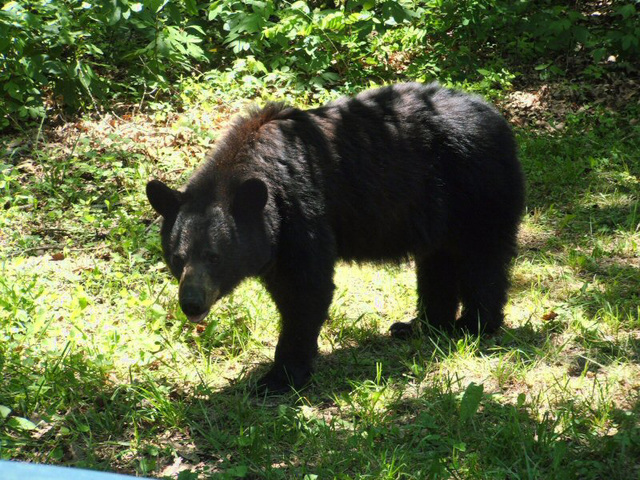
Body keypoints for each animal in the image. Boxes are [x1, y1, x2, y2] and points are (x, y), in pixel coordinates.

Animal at [149, 81, 524, 390]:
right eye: (177, 258)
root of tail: (496, 116)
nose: (191, 303)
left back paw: (474, 325)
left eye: (214, 256)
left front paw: (280, 376)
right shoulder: (274, 241)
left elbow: (306, 288)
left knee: (482, 258)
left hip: (477, 186)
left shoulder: (301, 209)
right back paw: (423, 325)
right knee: (437, 262)